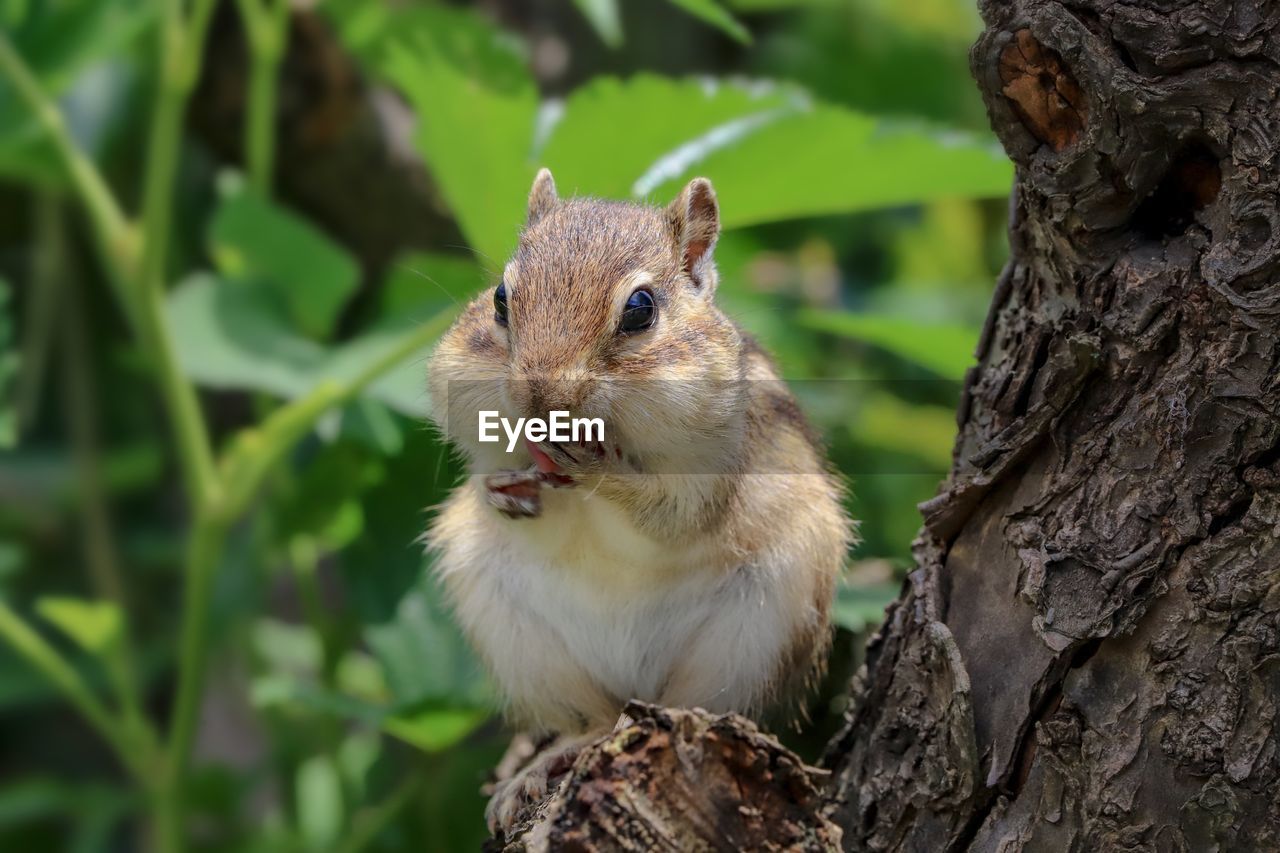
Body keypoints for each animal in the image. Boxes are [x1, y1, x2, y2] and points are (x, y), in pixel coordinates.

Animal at [426, 169, 853, 831]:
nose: (539, 397)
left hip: (755, 632)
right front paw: (497, 489)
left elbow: (671, 515)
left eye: (640, 309)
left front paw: (600, 469)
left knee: (685, 708)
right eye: (499, 298)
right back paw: (541, 769)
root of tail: (634, 690)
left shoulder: (713, 467)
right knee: (595, 719)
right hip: (517, 633)